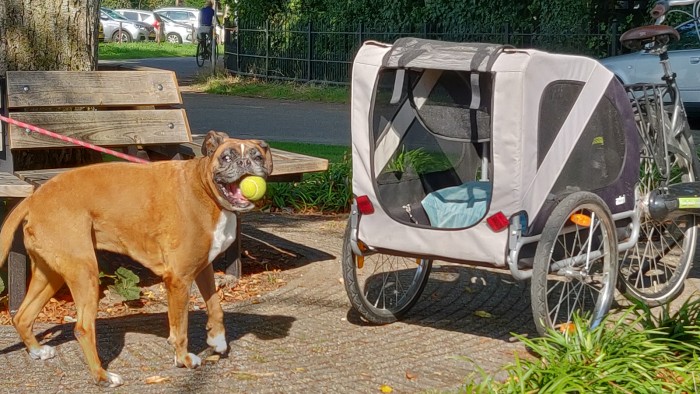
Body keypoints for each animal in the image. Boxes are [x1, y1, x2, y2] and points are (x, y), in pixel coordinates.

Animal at [0, 131, 272, 386]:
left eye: (257, 155)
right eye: (227, 157)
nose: (247, 162)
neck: (204, 188)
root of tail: (33, 198)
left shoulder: (202, 268)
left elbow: (216, 306)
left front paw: (217, 340)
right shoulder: (179, 279)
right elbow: (180, 327)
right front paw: (183, 359)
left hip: (52, 274)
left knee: (22, 316)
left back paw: (37, 351)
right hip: (85, 273)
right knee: (83, 328)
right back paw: (102, 376)